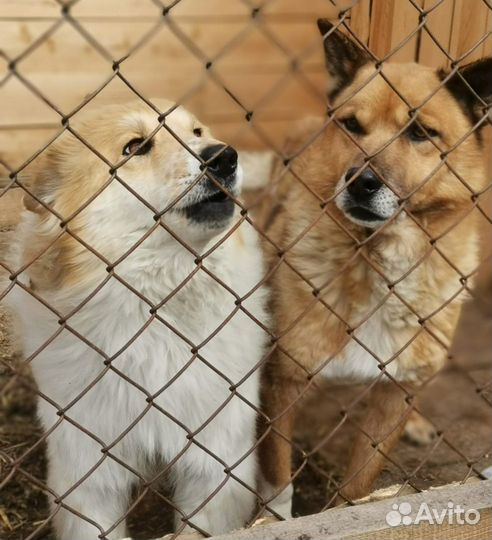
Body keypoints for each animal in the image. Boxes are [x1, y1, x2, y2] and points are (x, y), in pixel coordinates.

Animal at [4, 99, 270, 536]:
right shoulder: (90, 476)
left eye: (197, 132)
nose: (224, 156)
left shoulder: (214, 465)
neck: (158, 308)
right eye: (135, 148)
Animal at [256, 21, 490, 516]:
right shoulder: (280, 383)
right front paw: (270, 522)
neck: (378, 260)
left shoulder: (395, 395)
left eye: (420, 132)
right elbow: (277, 479)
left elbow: (358, 487)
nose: (360, 183)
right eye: (351, 126)